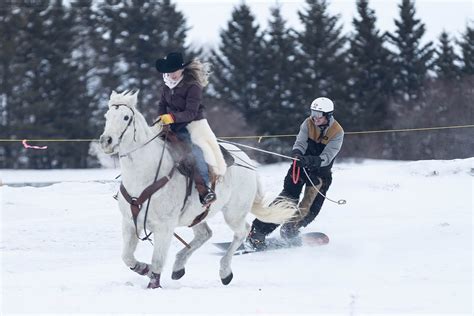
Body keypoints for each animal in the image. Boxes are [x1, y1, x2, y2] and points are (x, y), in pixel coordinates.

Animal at [100, 89, 296, 288]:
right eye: (107, 116)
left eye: (126, 117)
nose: (106, 141)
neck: (145, 173)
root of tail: (247, 161)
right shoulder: (129, 222)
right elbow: (127, 257)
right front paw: (143, 269)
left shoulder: (164, 227)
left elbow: (157, 262)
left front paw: (153, 282)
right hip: (195, 215)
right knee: (205, 234)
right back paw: (179, 266)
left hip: (234, 213)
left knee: (241, 232)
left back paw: (225, 271)